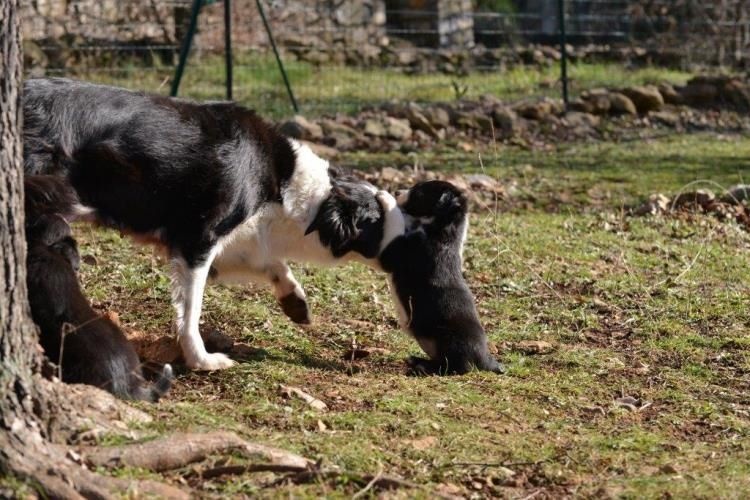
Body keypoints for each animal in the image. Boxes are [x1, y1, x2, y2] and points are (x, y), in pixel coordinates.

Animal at [22, 78, 406, 372]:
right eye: (377, 221)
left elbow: (271, 263)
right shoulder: (197, 240)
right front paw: (201, 359)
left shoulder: (229, 241)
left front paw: (294, 300)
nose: (408, 234)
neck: (288, 183)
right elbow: (191, 309)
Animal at [376, 181, 506, 376]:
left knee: (457, 367)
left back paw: (422, 366)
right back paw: (417, 361)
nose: (396, 191)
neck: (441, 228)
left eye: (419, 192)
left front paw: (384, 196)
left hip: (451, 339)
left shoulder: (404, 251)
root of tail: (487, 360)